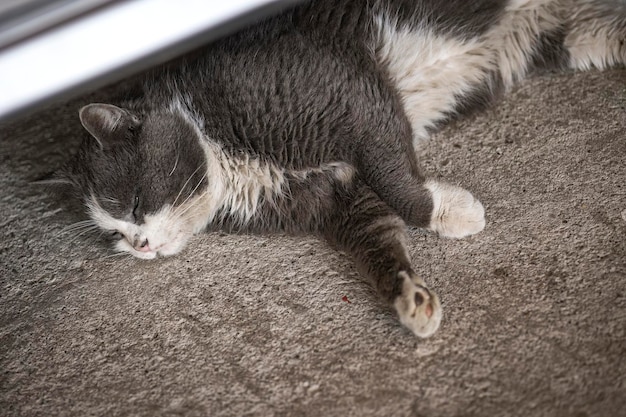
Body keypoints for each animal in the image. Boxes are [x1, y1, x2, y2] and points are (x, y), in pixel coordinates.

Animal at [56, 0, 620, 336]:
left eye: (134, 203)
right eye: (113, 234)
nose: (139, 247)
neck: (223, 153)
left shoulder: (350, 94)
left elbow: (396, 180)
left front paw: (448, 210)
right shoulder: (338, 198)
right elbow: (376, 237)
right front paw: (409, 297)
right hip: (579, 39)